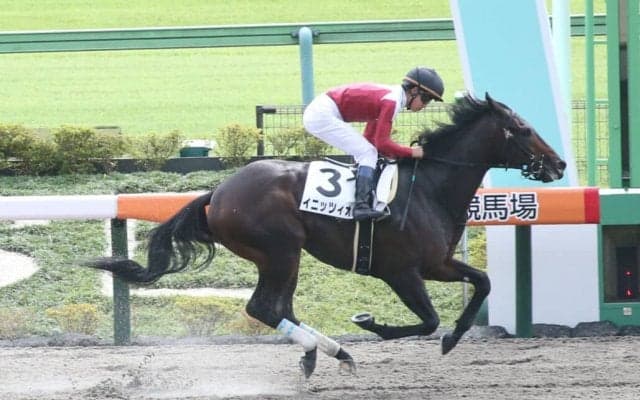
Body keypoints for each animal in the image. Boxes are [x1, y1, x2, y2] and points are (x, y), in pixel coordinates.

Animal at [89, 93, 566, 378]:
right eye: (524, 129)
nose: (559, 164)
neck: (430, 187)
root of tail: (218, 193)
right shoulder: (402, 271)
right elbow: (428, 319)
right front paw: (371, 323)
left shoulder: (438, 263)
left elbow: (482, 282)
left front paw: (453, 338)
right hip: (281, 251)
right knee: (263, 306)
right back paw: (330, 350)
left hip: (285, 256)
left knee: (278, 307)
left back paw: (326, 351)